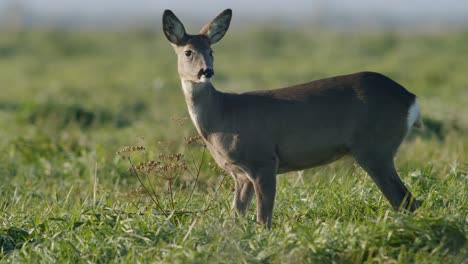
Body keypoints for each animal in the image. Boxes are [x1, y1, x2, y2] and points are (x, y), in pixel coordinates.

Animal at [163, 8, 422, 227]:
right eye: (188, 52)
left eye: (211, 51)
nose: (206, 71)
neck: (222, 115)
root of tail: (410, 98)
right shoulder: (240, 174)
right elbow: (235, 216)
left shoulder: (264, 161)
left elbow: (263, 219)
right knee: (407, 200)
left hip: (374, 147)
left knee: (405, 200)